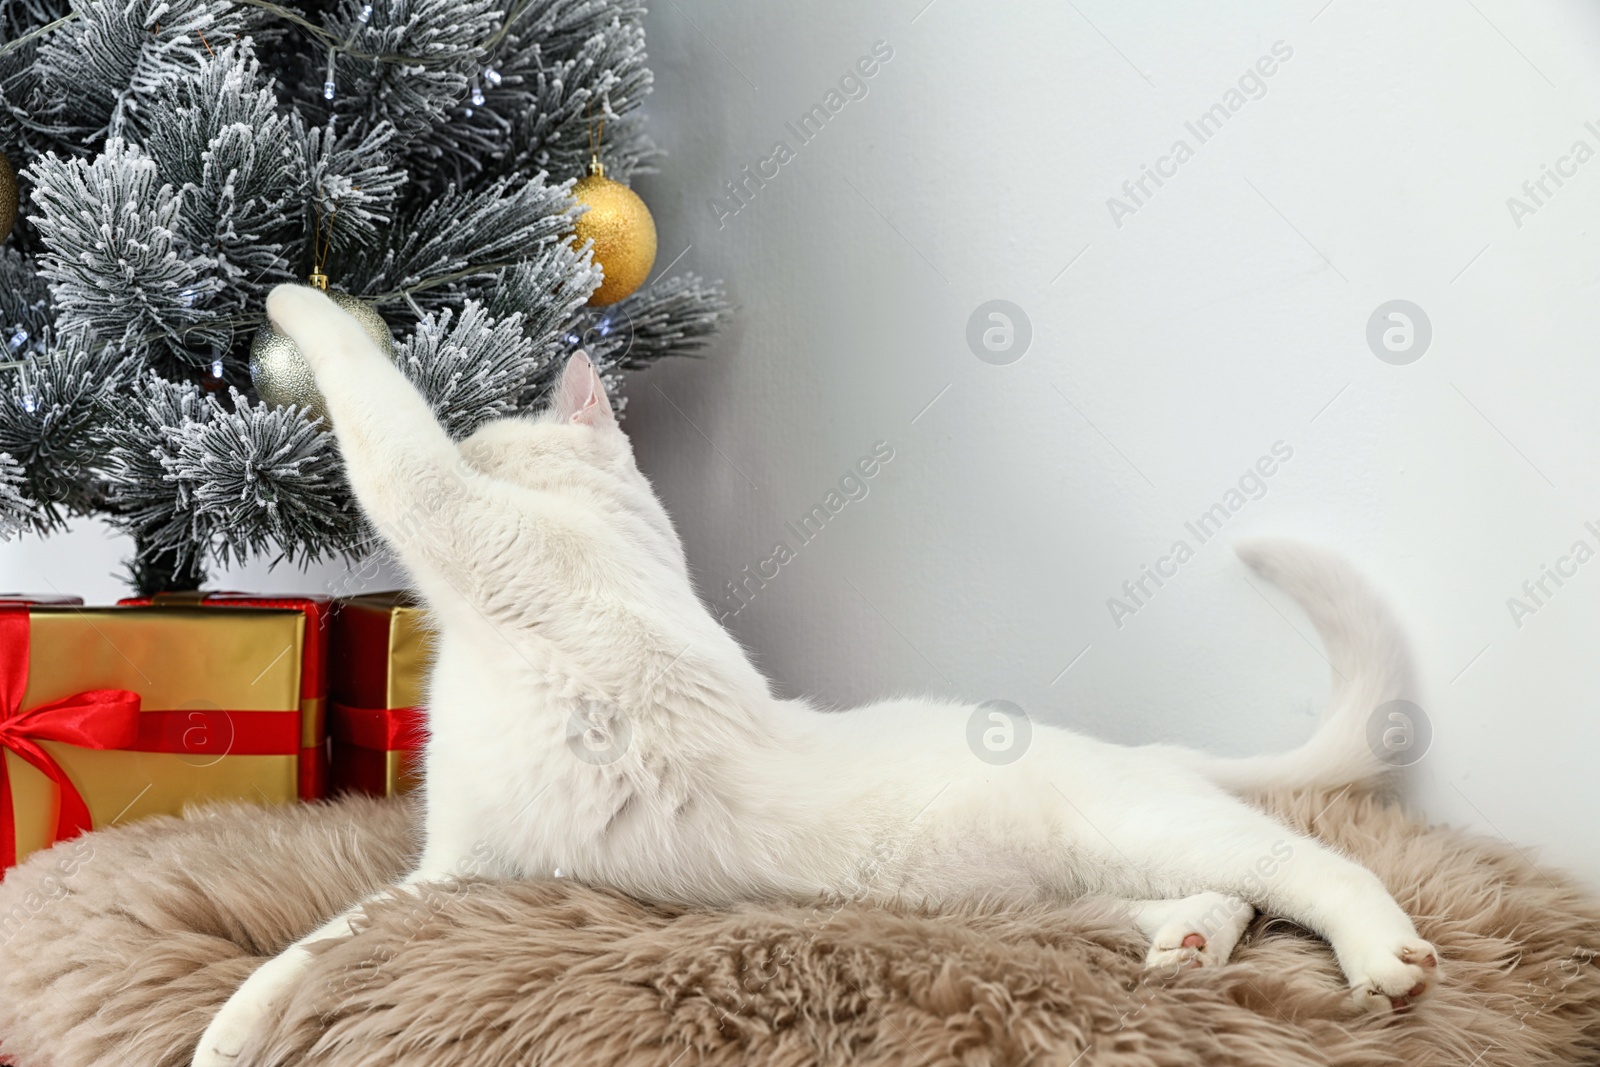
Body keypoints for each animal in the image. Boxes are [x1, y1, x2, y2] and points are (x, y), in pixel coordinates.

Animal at [193, 286, 1446, 1067]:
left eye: (494, 443)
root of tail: (1135, 751)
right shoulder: (458, 870)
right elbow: (318, 943)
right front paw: (224, 1031)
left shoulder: (449, 515)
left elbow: (381, 417)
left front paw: (295, 310)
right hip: (1045, 889)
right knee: (1205, 898)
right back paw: (1182, 941)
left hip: (1149, 825)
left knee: (1302, 861)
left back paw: (1377, 952)